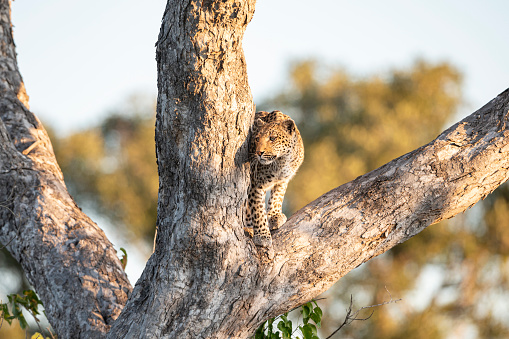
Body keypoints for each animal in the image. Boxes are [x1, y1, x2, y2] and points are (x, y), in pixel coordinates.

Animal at [245, 111, 302, 250]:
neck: (281, 161)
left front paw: (275, 216)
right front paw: (262, 236)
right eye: (256, 139)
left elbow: (277, 196)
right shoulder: (254, 183)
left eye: (272, 138)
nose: (259, 152)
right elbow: (258, 210)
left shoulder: (284, 179)